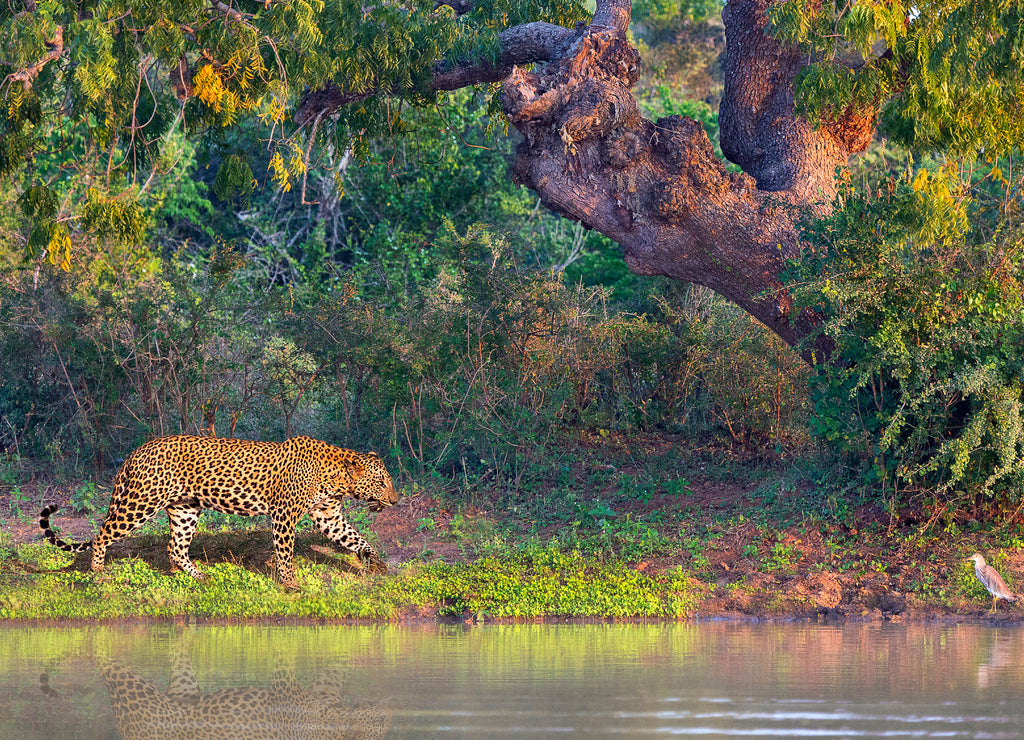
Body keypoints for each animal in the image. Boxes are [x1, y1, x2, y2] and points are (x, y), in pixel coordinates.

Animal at [39, 434, 400, 589]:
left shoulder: (328, 515)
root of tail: (135, 451)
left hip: (185, 509)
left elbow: (355, 538)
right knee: (102, 533)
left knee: (174, 548)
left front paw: (377, 562)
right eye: (382, 482)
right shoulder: (283, 514)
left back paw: (197, 576)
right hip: (140, 502)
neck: (336, 477)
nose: (396, 501)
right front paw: (289, 583)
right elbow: (285, 552)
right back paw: (98, 572)